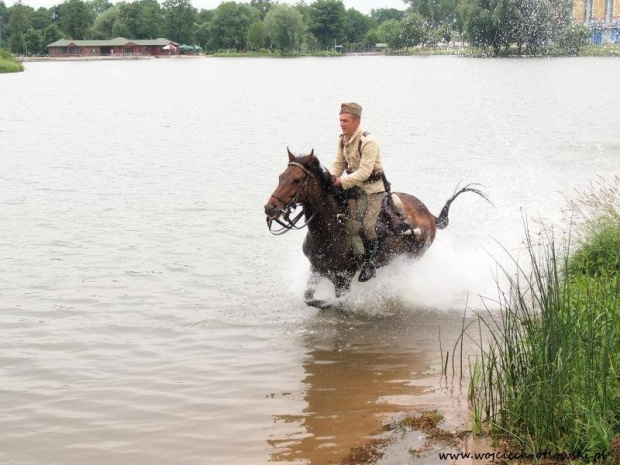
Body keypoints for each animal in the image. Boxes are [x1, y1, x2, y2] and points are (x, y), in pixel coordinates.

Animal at [264, 150, 486, 308]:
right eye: (280, 176)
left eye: (297, 179)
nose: (270, 208)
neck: (331, 228)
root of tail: (430, 215)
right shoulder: (316, 269)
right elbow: (309, 299)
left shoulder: (343, 278)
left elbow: (338, 304)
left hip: (412, 258)